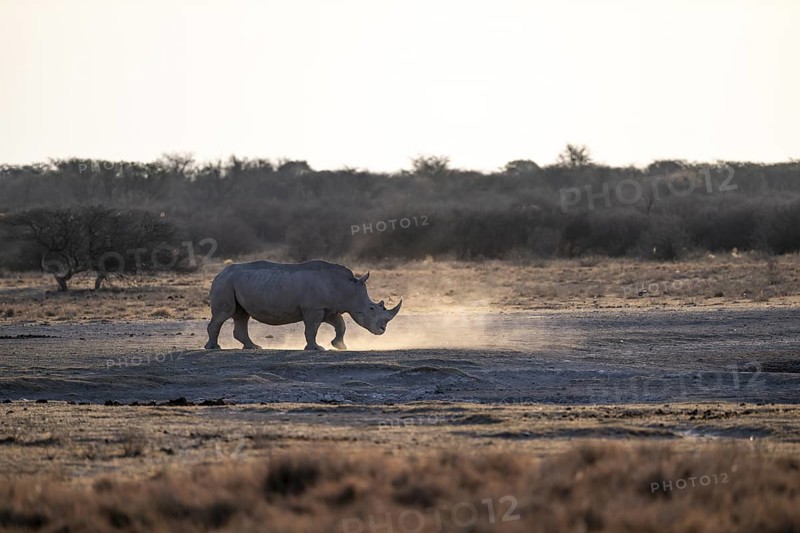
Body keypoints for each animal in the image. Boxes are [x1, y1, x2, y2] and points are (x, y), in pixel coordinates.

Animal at [204, 260, 402, 350]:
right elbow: (312, 329)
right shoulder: (314, 309)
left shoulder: (328, 308)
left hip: (235, 283)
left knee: (241, 314)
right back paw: (214, 348)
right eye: (371, 308)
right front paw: (316, 348)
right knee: (224, 314)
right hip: (226, 283)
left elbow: (340, 325)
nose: (382, 330)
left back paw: (254, 347)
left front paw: (339, 346)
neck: (348, 288)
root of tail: (219, 273)